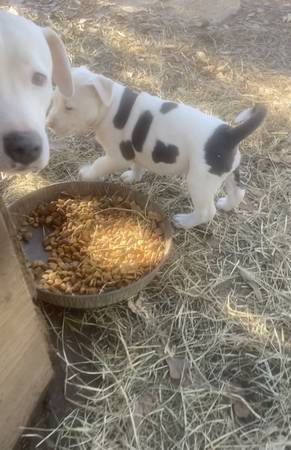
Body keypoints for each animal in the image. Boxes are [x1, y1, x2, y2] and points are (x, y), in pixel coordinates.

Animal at [47, 67, 266, 229]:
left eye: (69, 107)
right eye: (54, 99)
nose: (48, 123)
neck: (111, 106)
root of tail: (230, 134)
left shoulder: (116, 156)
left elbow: (99, 164)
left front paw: (86, 173)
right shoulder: (135, 152)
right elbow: (137, 165)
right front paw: (132, 177)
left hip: (200, 181)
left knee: (206, 212)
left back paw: (185, 222)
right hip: (226, 172)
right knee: (238, 192)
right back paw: (227, 205)